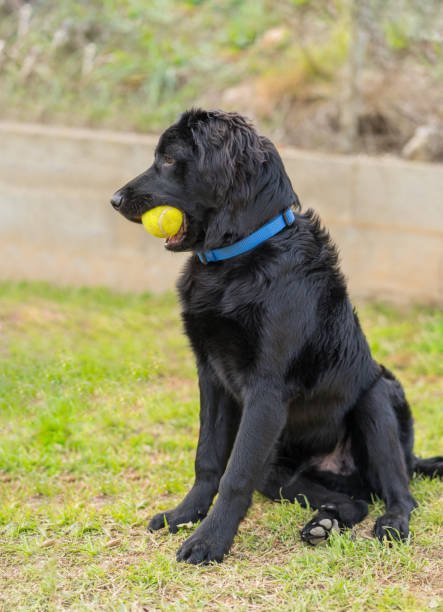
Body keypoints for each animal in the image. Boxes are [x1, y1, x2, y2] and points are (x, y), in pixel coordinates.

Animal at [110, 109, 440, 564]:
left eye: (169, 160)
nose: (115, 199)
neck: (240, 257)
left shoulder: (265, 389)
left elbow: (233, 476)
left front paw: (209, 541)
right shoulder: (211, 376)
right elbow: (208, 460)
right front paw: (185, 515)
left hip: (377, 397)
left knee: (400, 495)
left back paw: (389, 523)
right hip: (276, 471)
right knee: (355, 502)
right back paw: (323, 523)